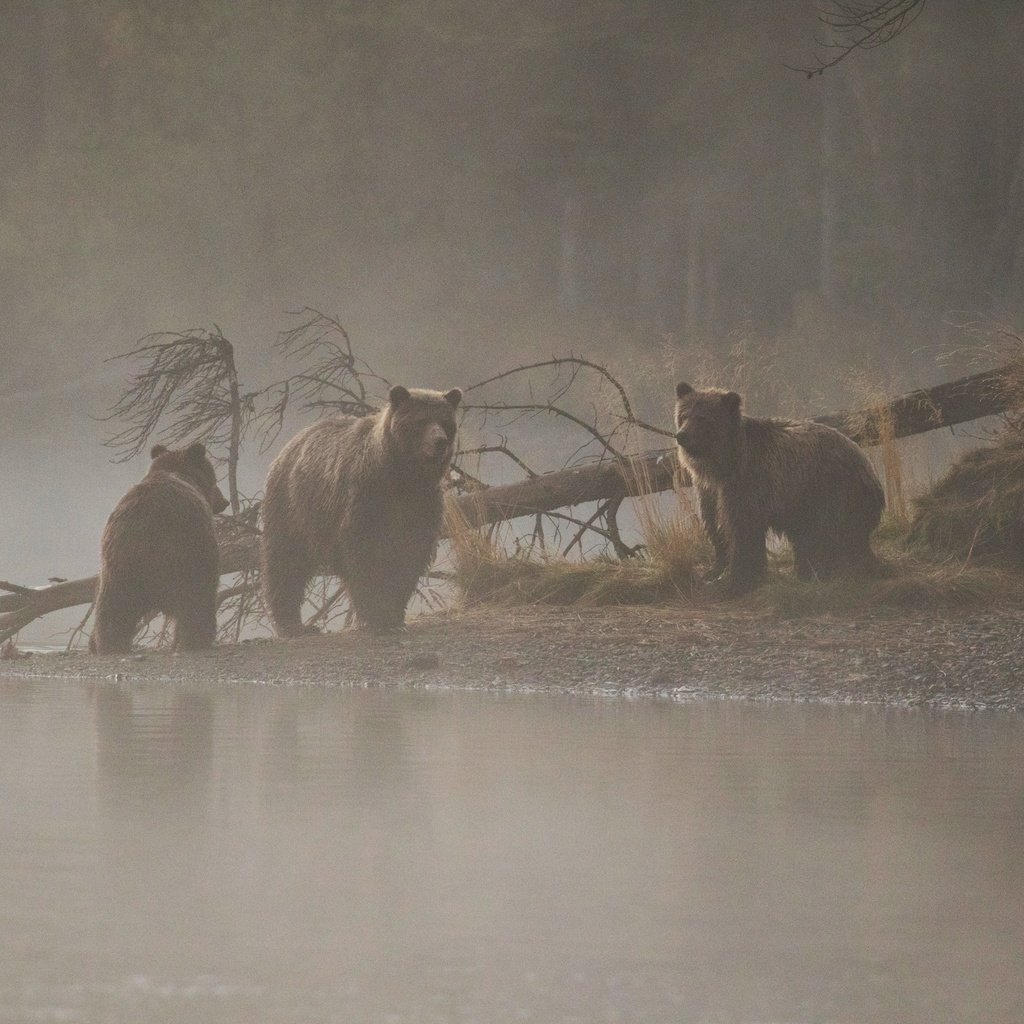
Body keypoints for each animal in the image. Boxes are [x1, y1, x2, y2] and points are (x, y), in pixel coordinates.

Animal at [91, 442, 229, 655]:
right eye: (214, 480)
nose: (224, 502)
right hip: (184, 557)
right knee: (197, 602)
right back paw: (196, 641)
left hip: (118, 570)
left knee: (112, 612)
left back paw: (110, 645)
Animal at [262, 385, 462, 634]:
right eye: (421, 420)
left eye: (445, 421)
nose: (439, 442)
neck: (402, 477)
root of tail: (290, 444)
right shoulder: (366, 499)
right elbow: (365, 555)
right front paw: (377, 617)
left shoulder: (421, 505)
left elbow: (410, 555)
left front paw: (395, 616)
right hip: (292, 507)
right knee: (286, 561)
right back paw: (293, 624)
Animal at [675, 382, 884, 593]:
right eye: (684, 415)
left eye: (702, 417)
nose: (681, 435)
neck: (723, 465)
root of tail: (868, 468)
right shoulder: (709, 490)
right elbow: (714, 524)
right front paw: (714, 570)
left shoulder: (747, 485)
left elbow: (742, 529)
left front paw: (737, 581)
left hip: (830, 491)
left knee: (825, 536)